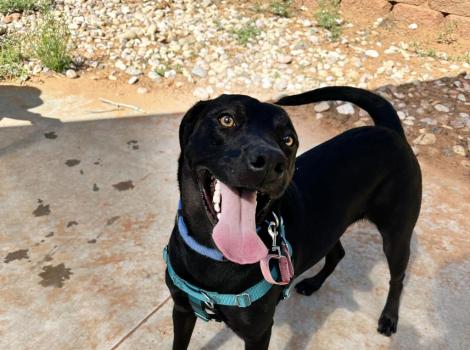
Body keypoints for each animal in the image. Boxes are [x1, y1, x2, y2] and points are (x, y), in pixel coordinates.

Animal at [165, 86, 422, 348]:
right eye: (226, 119)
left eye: (288, 140)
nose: (270, 161)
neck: (213, 257)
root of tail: (389, 130)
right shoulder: (182, 310)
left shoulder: (258, 333)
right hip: (329, 228)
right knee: (337, 253)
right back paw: (313, 283)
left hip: (397, 235)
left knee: (398, 277)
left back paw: (389, 317)